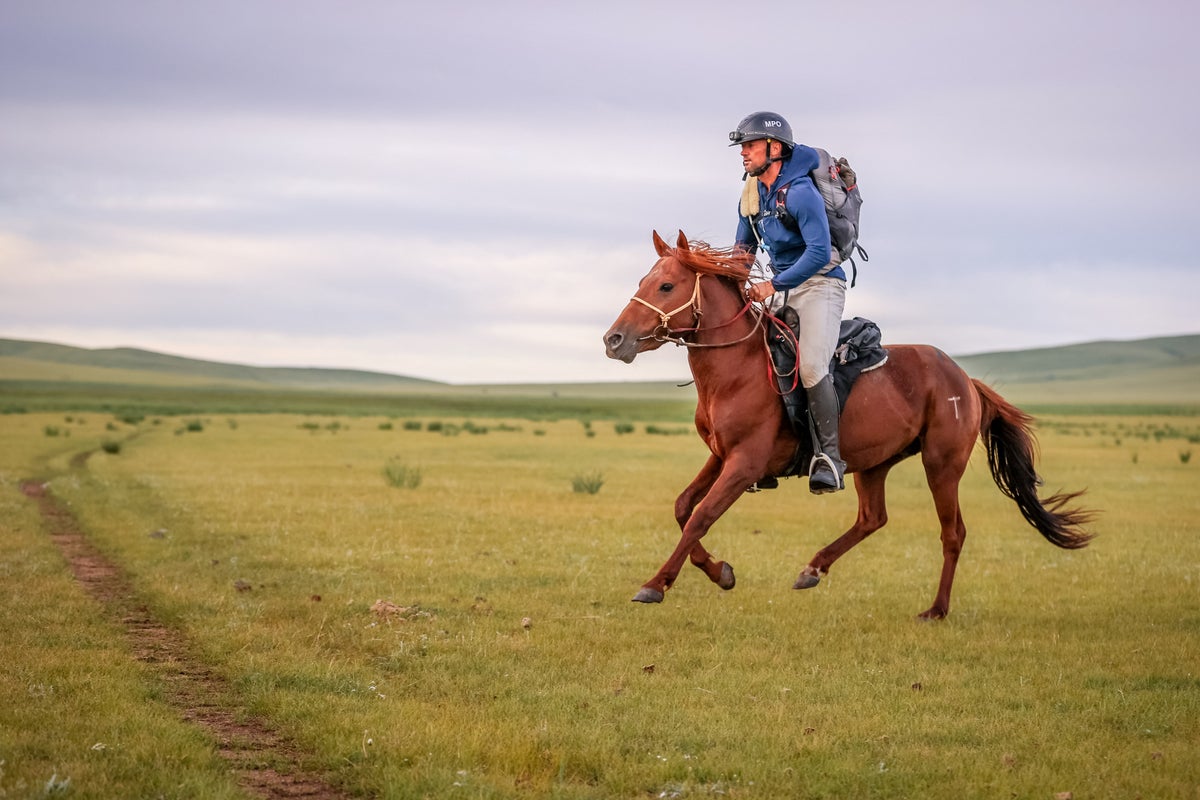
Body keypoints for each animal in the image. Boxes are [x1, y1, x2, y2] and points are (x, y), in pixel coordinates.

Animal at [602, 230, 1094, 619]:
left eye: (667, 285)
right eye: (642, 282)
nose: (613, 340)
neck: (737, 369)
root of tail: (964, 380)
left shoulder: (744, 463)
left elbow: (702, 516)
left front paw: (656, 584)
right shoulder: (721, 455)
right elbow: (683, 507)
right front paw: (721, 572)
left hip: (941, 465)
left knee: (952, 532)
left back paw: (936, 609)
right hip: (873, 463)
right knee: (872, 518)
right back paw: (813, 568)